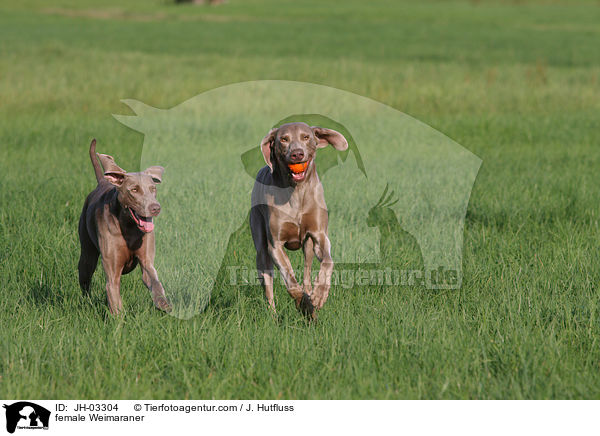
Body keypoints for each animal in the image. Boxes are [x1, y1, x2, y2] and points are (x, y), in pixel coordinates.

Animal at [78, 140, 171, 314]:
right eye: (134, 190)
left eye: (153, 189)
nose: (155, 208)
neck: (128, 227)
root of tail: (102, 182)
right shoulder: (112, 274)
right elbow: (115, 298)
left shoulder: (147, 261)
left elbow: (154, 280)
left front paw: (163, 303)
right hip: (87, 255)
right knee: (85, 278)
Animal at [251, 122, 350, 316]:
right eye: (283, 139)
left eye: (306, 137)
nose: (297, 153)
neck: (296, 190)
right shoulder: (275, 245)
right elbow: (289, 279)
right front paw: (302, 302)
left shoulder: (320, 235)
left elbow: (328, 261)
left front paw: (319, 295)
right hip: (260, 244)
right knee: (268, 283)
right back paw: (274, 315)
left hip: (308, 247)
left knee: (306, 271)